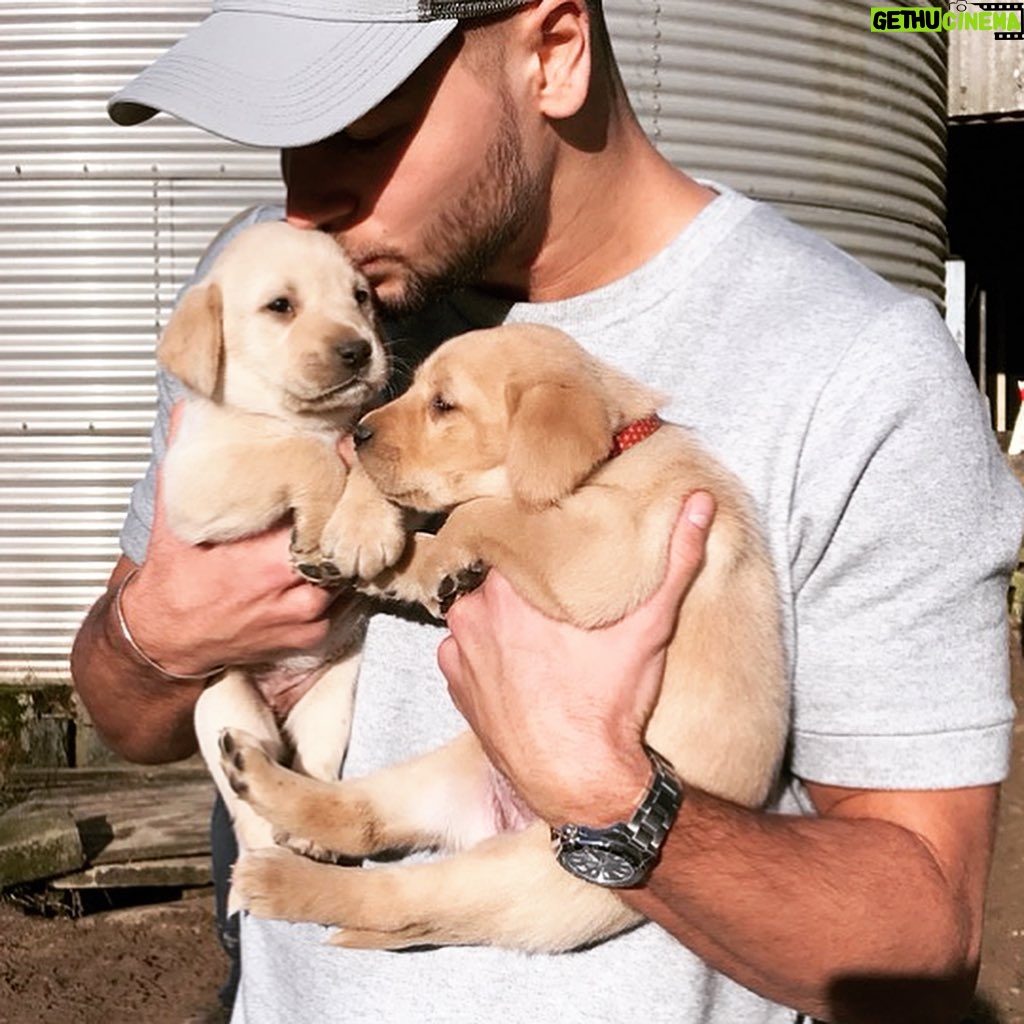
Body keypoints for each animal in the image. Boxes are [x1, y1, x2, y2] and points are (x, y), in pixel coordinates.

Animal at [155, 222, 403, 864]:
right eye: (280, 307)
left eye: (360, 297)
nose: (359, 351)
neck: (304, 417)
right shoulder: (193, 481)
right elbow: (303, 455)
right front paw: (318, 532)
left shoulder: (372, 429)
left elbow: (364, 458)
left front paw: (362, 529)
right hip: (224, 703)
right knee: (250, 800)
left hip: (337, 691)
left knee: (313, 764)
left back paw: (310, 833)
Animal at [222, 321, 782, 950]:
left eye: (444, 405)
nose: (359, 432)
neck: (612, 457)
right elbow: (428, 507)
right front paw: (364, 535)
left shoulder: (610, 549)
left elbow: (484, 510)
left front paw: (433, 558)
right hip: (443, 773)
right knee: (365, 820)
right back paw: (256, 777)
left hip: (525, 879)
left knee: (401, 899)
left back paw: (274, 878)